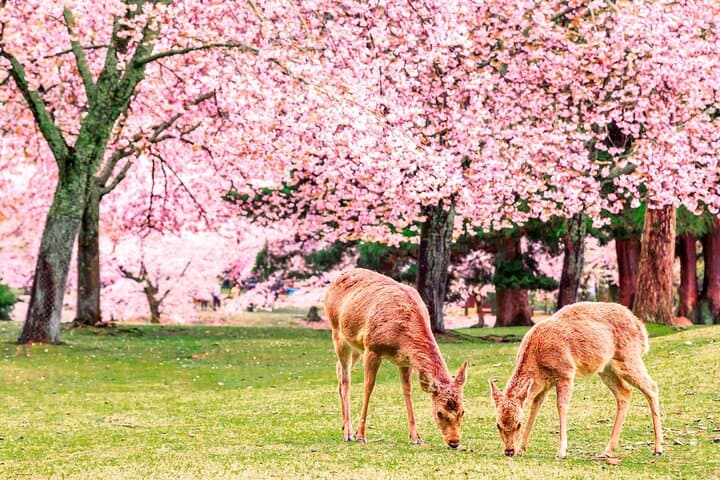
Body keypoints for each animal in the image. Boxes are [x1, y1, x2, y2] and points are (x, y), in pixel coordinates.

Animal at [325, 268, 468, 448]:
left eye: (463, 411)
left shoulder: (405, 361)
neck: (401, 339)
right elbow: (368, 387)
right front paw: (361, 435)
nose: (454, 442)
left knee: (338, 369)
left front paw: (416, 437)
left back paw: (344, 425)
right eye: (439, 413)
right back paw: (349, 433)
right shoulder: (372, 348)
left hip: (355, 345)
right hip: (337, 332)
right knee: (346, 379)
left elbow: (407, 391)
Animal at [489, 302, 663, 459]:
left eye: (518, 423)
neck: (537, 361)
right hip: (606, 368)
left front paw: (561, 451)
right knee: (624, 392)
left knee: (652, 386)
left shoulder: (565, 372)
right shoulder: (544, 384)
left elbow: (561, 406)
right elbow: (534, 409)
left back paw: (658, 449)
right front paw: (521, 449)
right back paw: (607, 451)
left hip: (628, 357)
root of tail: (641, 328)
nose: (509, 451)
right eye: (498, 424)